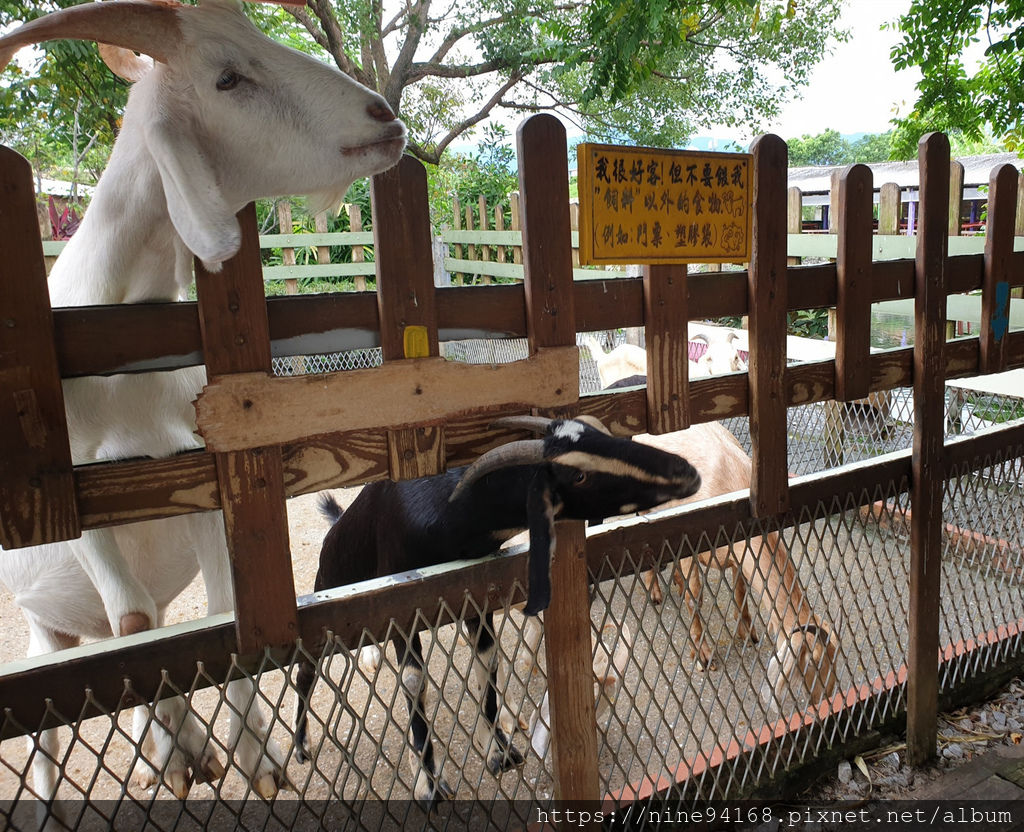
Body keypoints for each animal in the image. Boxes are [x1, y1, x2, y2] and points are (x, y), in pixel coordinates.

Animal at [0, 0, 407, 815]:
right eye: (227, 78)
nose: (384, 116)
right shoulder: (76, 500)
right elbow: (134, 618)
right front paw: (192, 753)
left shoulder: (202, 486)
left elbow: (217, 624)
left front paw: (253, 755)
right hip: (39, 622)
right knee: (67, 709)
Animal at [292, 416, 700, 807]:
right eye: (578, 475)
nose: (685, 473)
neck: (453, 511)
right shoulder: (402, 607)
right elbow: (413, 680)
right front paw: (428, 785)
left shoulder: (475, 595)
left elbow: (487, 660)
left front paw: (499, 752)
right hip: (328, 592)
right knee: (305, 673)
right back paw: (301, 746)